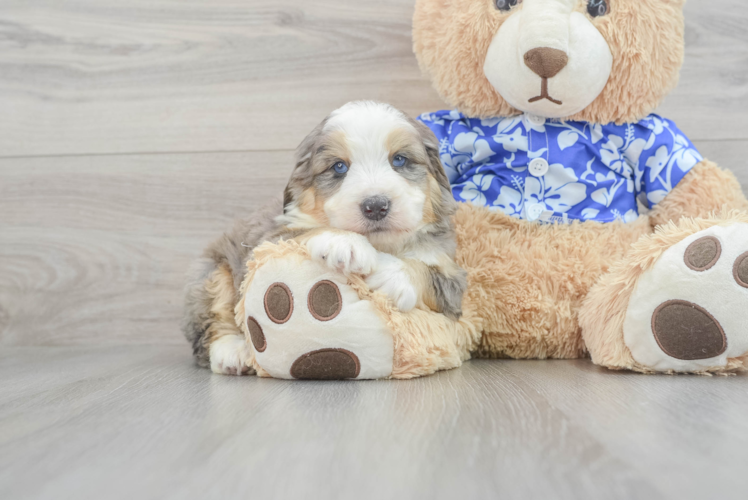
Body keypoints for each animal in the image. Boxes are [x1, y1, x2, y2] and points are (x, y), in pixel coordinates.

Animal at [181, 101, 464, 376]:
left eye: (400, 160)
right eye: (339, 167)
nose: (375, 206)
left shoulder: (452, 276)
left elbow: (430, 273)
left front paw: (391, 275)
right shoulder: (265, 241)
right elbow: (304, 231)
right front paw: (345, 242)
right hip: (211, 274)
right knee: (213, 320)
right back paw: (233, 352)